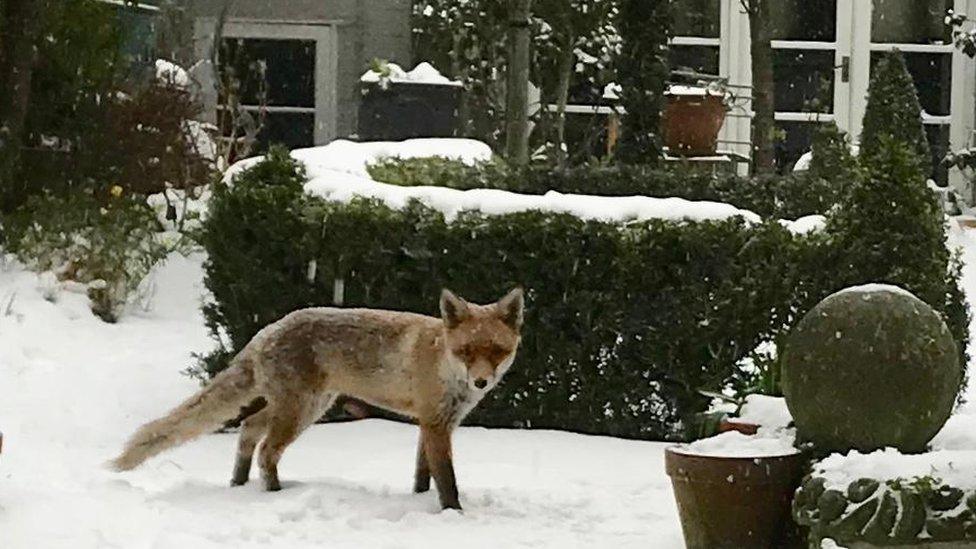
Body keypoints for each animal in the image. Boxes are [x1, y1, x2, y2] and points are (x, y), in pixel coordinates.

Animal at [109, 286, 524, 510]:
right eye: (467, 351)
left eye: (496, 351)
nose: (481, 382)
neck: (443, 362)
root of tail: (265, 332)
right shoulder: (436, 424)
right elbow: (447, 480)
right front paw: (455, 515)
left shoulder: (432, 422)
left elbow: (425, 475)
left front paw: (421, 502)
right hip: (301, 410)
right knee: (266, 450)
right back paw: (273, 494)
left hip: (301, 406)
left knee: (248, 429)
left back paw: (239, 484)